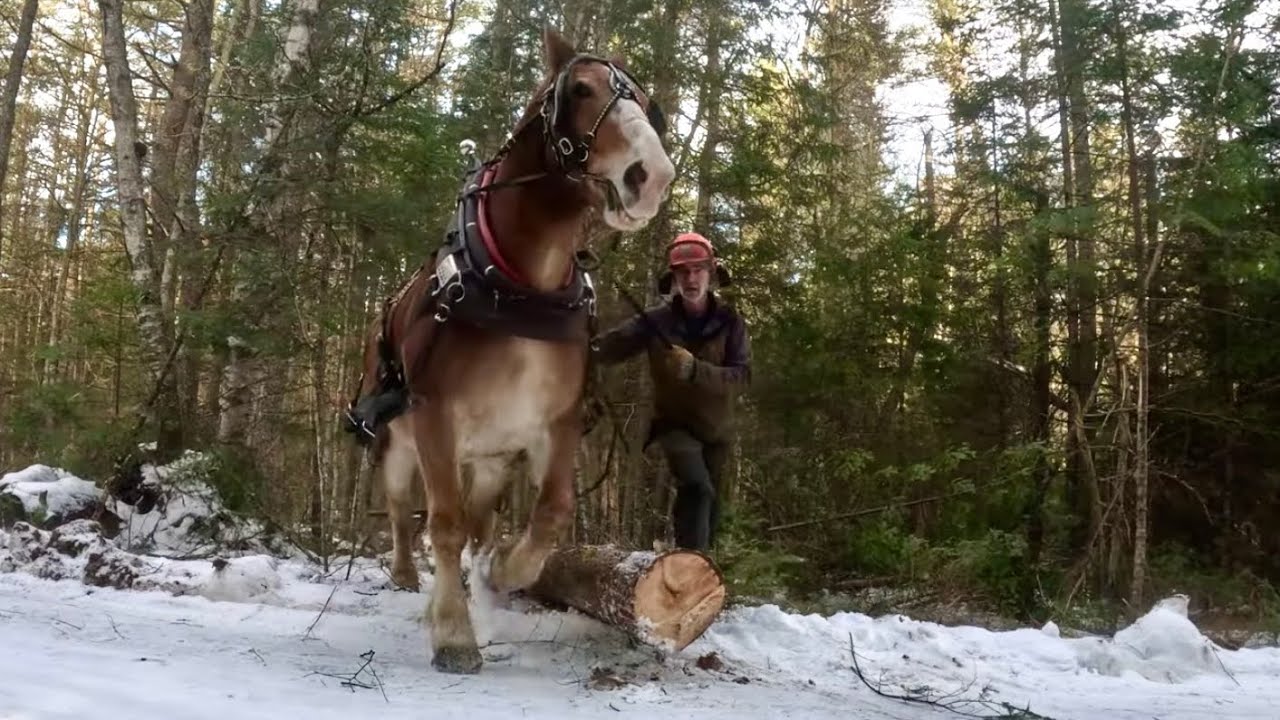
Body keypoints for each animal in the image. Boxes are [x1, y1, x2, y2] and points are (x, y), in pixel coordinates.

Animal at [344, 27, 675, 674]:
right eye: (580, 90)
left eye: (647, 102)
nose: (652, 175)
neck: (519, 286)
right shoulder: (436, 418)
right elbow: (442, 526)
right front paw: (453, 634)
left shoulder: (550, 424)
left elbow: (548, 514)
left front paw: (501, 576)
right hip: (400, 440)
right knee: (401, 509)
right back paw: (406, 576)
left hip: (490, 458)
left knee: (474, 522)